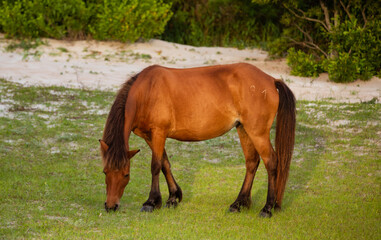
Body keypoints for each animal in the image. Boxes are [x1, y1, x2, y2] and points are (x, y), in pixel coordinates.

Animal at [99, 62, 296, 217]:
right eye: (105, 172)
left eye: (126, 174)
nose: (110, 206)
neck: (147, 91)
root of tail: (271, 80)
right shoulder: (150, 136)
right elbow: (164, 163)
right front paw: (173, 197)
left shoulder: (158, 133)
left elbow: (155, 166)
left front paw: (151, 202)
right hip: (244, 130)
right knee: (252, 163)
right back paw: (239, 204)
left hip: (258, 133)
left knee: (272, 163)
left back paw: (268, 208)